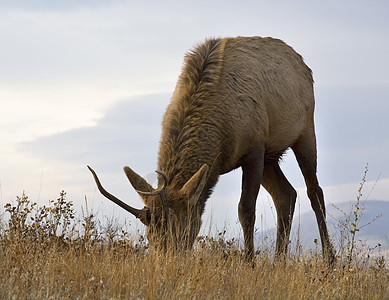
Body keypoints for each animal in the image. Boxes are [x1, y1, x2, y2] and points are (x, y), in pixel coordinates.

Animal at [87, 36, 334, 264]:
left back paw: (329, 259)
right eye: (150, 236)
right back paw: (278, 261)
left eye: (181, 232)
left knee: (314, 192)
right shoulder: (256, 154)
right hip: (271, 157)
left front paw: (249, 263)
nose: (165, 264)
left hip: (304, 132)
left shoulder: (254, 150)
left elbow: (245, 210)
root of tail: (304, 65)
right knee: (286, 195)